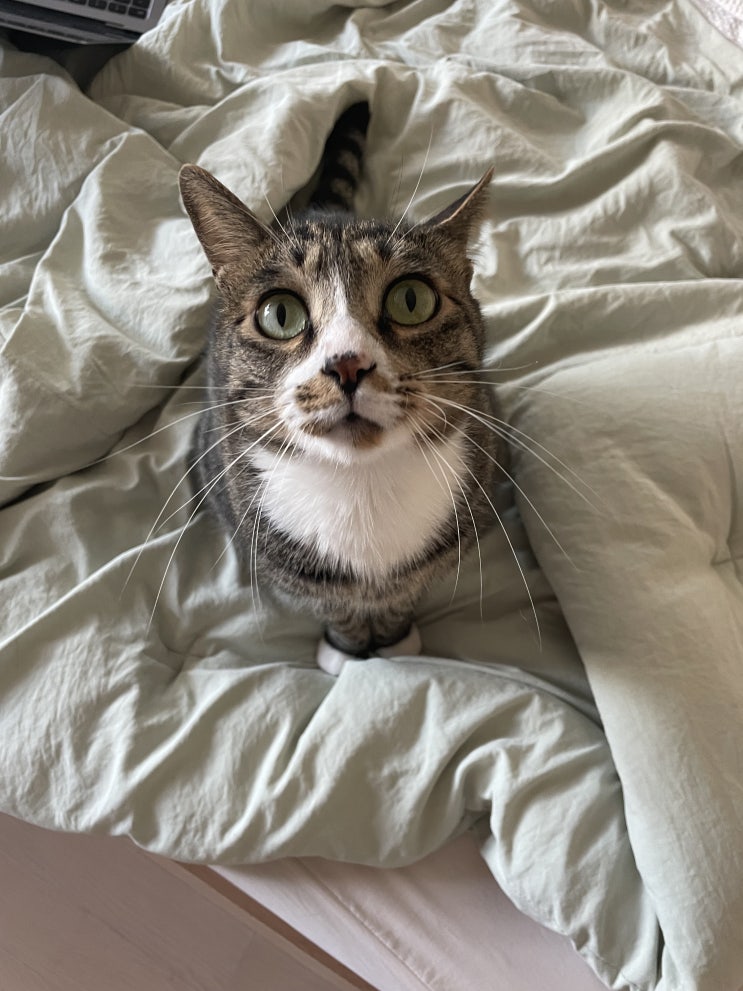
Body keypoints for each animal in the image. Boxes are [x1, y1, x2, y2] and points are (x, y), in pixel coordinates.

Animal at [179, 103, 501, 675]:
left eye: (411, 300)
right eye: (279, 314)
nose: (349, 364)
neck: (361, 488)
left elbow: (404, 592)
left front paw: (392, 641)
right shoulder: (293, 571)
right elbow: (335, 603)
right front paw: (349, 649)